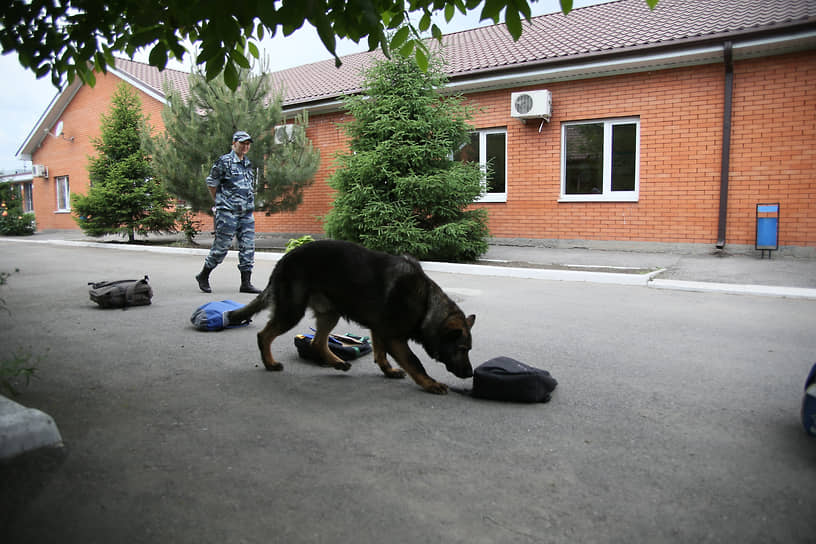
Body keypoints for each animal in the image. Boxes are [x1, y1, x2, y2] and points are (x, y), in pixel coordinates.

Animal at [226, 240, 474, 394]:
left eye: (468, 350)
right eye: (462, 349)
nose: (471, 373)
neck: (426, 305)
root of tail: (283, 260)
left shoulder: (380, 330)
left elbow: (380, 354)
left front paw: (388, 371)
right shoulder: (394, 337)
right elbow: (415, 362)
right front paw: (430, 384)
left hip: (330, 314)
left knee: (317, 343)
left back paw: (337, 362)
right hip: (292, 312)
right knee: (264, 335)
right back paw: (269, 363)